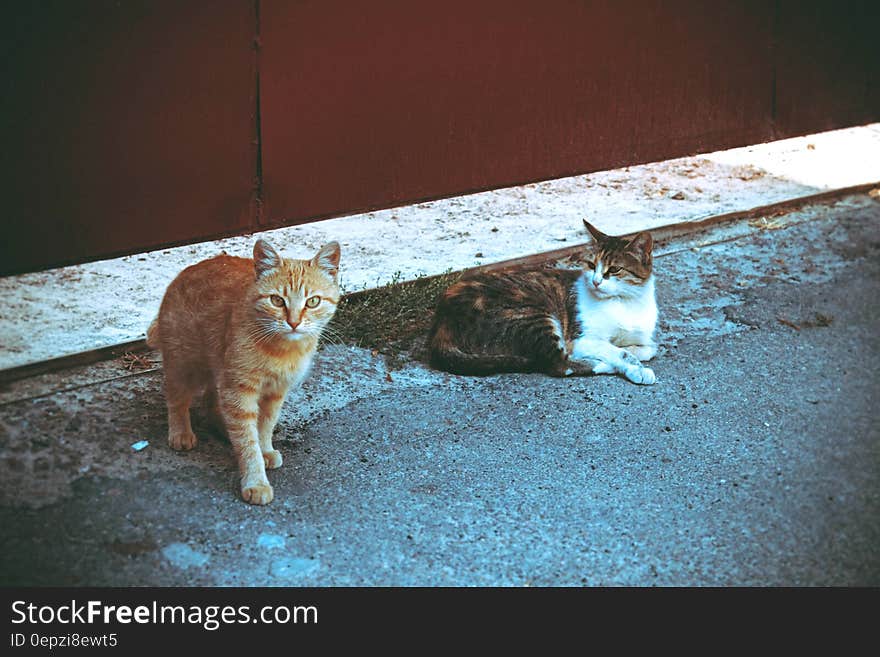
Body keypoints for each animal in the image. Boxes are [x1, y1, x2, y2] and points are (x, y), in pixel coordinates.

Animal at [148, 238, 340, 504]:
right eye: (277, 300)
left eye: (313, 301)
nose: (293, 322)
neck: (281, 350)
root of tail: (187, 271)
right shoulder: (239, 391)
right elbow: (247, 441)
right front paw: (256, 480)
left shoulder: (275, 392)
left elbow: (265, 426)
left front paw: (265, 449)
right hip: (184, 364)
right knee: (177, 399)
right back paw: (180, 432)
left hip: (216, 368)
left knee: (211, 402)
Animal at [422, 220, 656, 384]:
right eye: (591, 265)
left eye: (614, 269)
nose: (596, 281)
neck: (626, 303)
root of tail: (441, 323)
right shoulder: (581, 339)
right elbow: (620, 352)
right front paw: (635, 368)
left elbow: (647, 348)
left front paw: (635, 355)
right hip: (533, 314)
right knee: (558, 364)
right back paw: (602, 364)